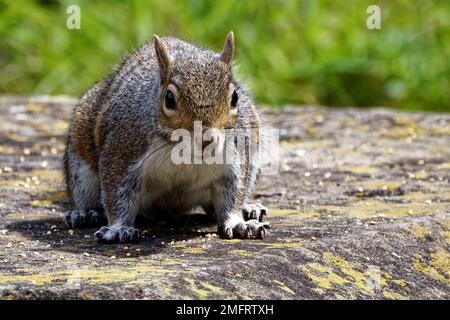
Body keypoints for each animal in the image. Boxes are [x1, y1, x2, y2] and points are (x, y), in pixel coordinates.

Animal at [61, 32, 268, 242]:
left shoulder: (234, 156)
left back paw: (249, 208)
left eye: (235, 98)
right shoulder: (124, 148)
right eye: (169, 98)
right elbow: (116, 192)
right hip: (81, 172)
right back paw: (83, 213)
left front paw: (237, 223)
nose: (206, 140)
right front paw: (118, 228)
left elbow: (233, 193)